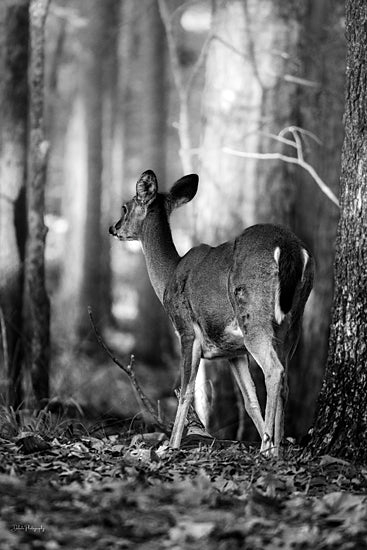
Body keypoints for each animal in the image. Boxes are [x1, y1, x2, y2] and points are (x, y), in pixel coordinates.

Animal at [109, 172, 314, 458]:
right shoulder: (233, 352)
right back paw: (276, 449)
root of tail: (289, 246)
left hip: (253, 315)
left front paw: (171, 446)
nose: (113, 228)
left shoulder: (186, 330)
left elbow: (185, 391)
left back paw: (266, 449)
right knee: (285, 378)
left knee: (275, 371)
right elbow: (249, 400)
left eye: (125, 207)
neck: (169, 277)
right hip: (293, 322)